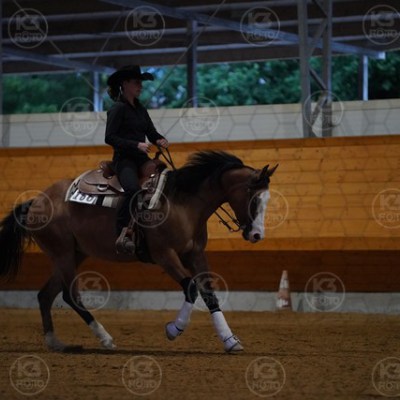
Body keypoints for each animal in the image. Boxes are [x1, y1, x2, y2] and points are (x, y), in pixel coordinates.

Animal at [0, 150, 277, 353]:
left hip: (73, 254)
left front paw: (230, 340)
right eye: (254, 199)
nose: (256, 235)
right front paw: (174, 330)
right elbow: (190, 287)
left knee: (45, 295)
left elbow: (209, 293)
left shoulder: (194, 254)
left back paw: (55, 342)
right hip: (63, 254)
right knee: (71, 296)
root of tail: (35, 201)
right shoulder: (165, 255)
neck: (183, 203)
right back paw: (105, 339)